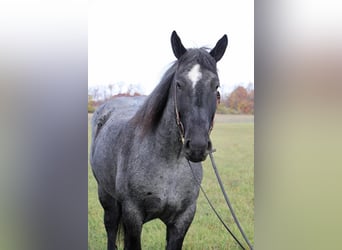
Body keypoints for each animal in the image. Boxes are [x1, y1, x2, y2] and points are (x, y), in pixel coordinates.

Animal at [91, 31, 227, 250]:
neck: (169, 163)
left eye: (216, 86)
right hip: (107, 197)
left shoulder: (182, 219)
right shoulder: (133, 217)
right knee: (111, 229)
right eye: (179, 84)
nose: (197, 146)